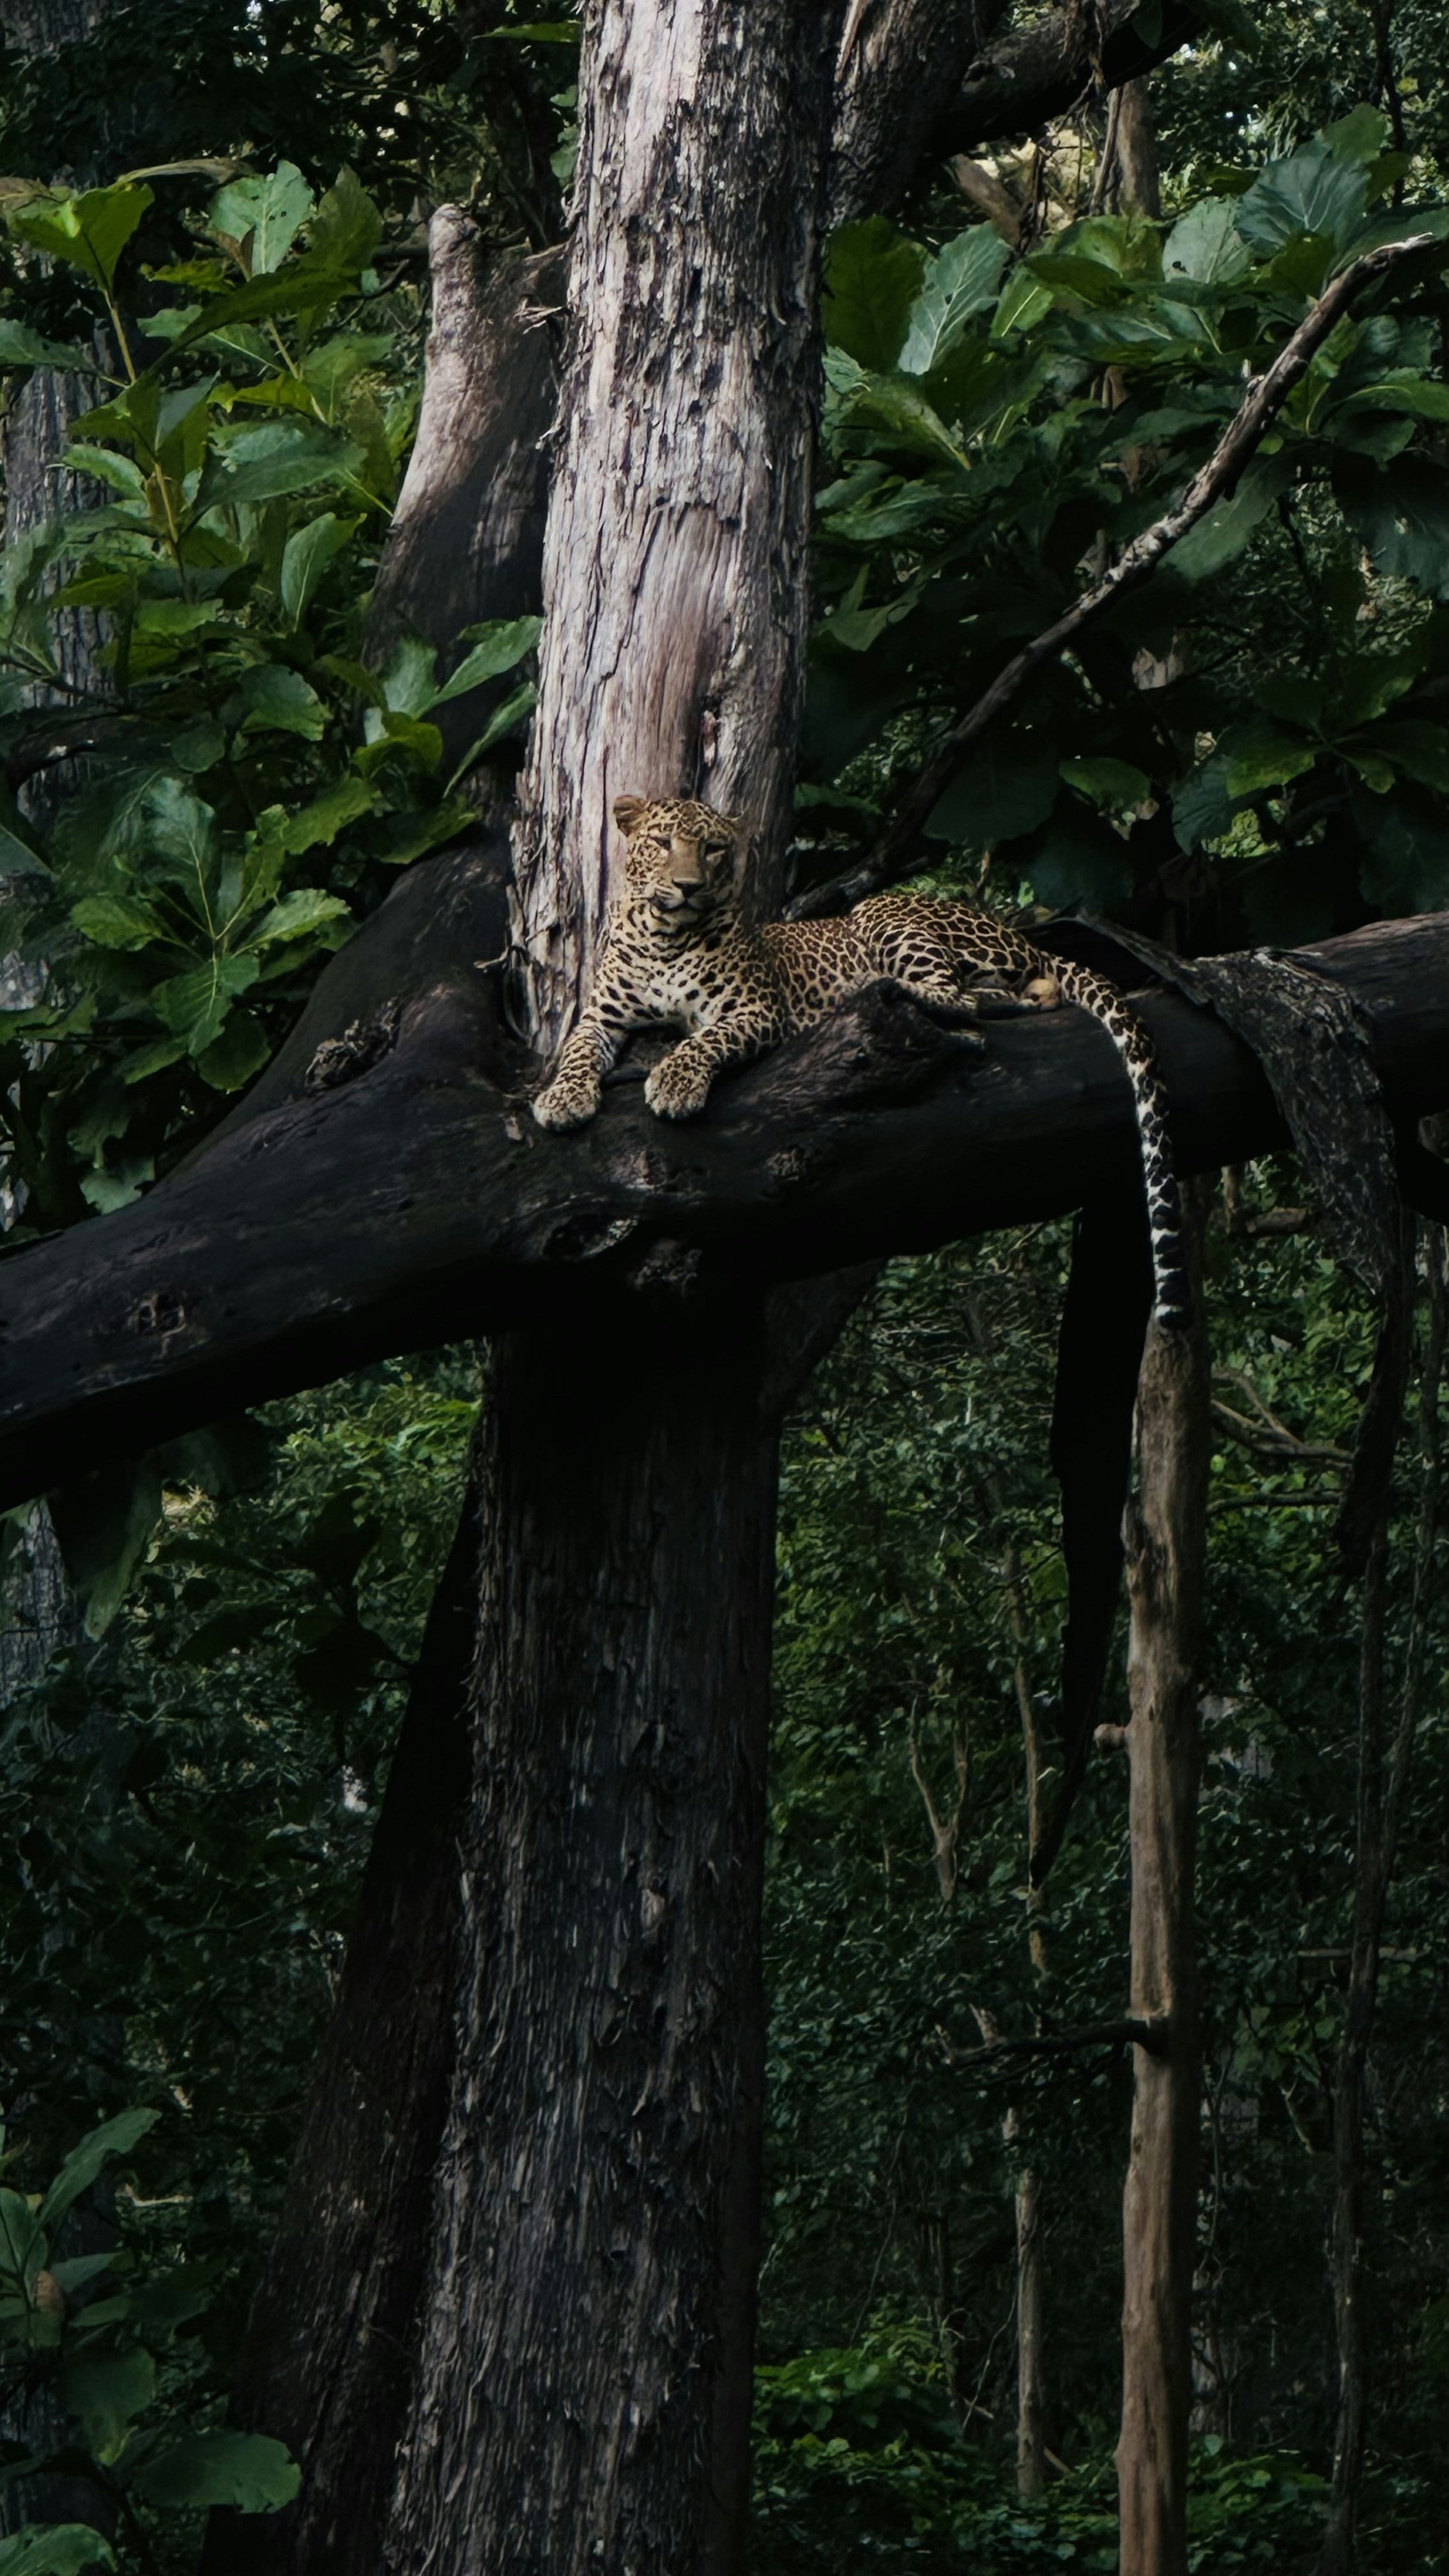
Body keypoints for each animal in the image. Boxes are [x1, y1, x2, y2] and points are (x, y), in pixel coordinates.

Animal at [532, 794, 1190, 1326]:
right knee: (1019, 993)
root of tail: (1019, 933)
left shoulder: (758, 1010)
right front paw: (561, 1099)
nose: (690, 885)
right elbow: (577, 1053)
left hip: (883, 912)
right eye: (663, 843)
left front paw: (674, 1082)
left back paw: (887, 989)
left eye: (714, 850)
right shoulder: (601, 1018)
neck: (664, 935)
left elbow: (703, 1041)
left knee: (959, 994)